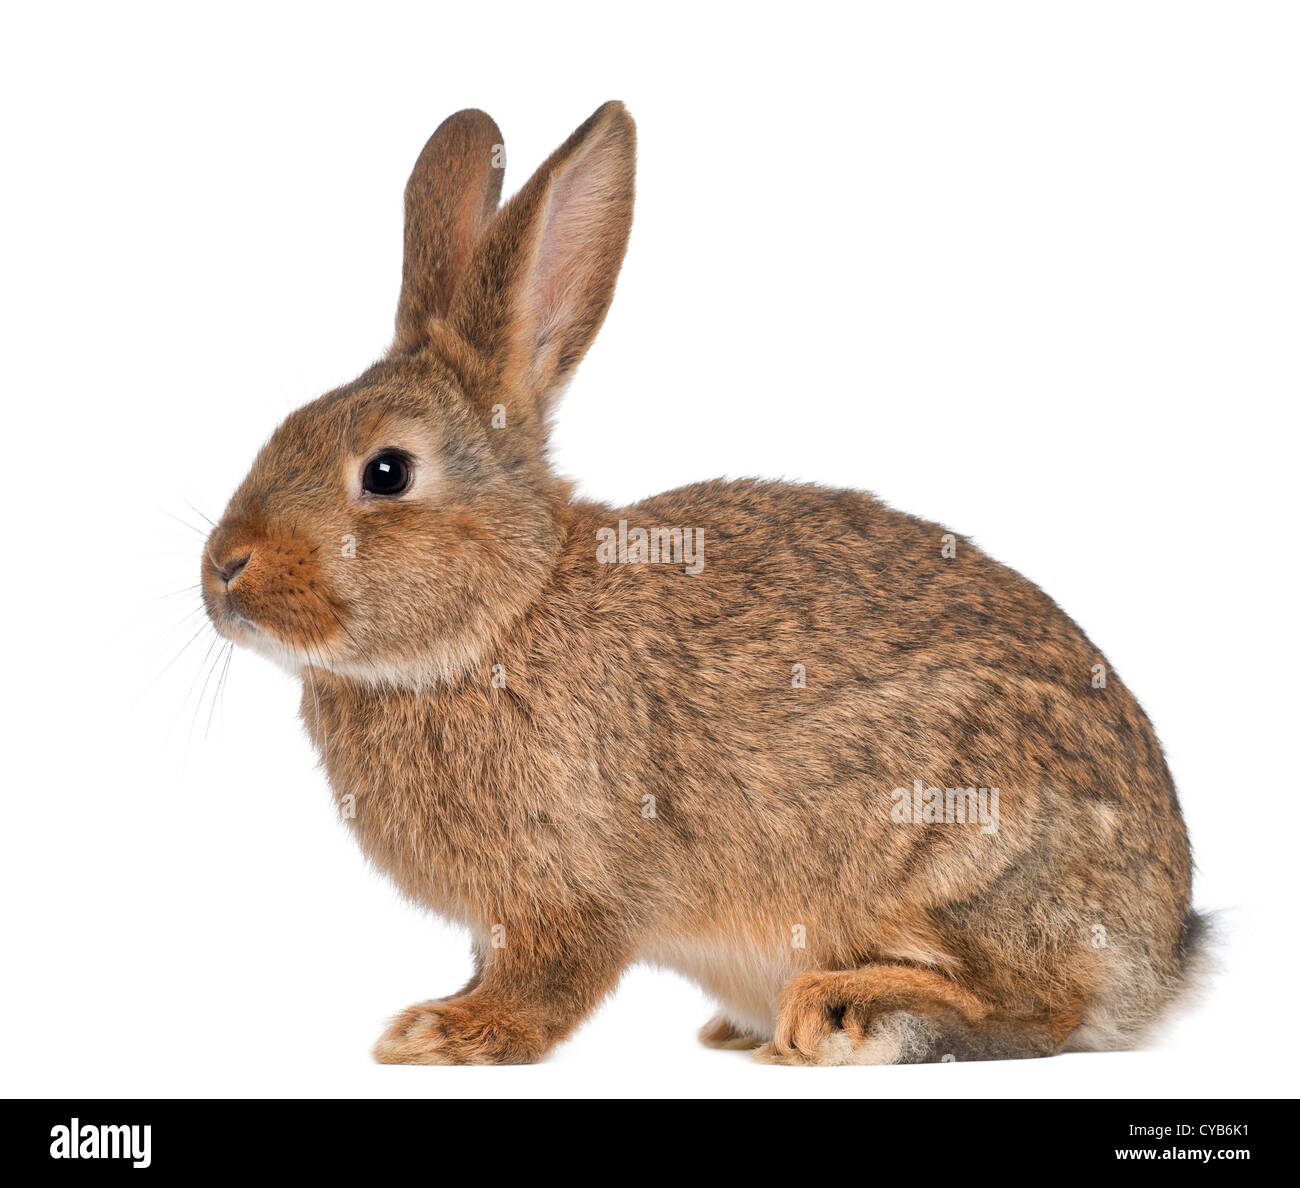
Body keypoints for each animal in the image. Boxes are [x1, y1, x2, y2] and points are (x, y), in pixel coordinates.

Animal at [197, 103, 1201, 1065]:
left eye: (388, 472)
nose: (223, 568)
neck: (504, 613)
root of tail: (1164, 952)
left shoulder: (573, 885)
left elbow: (550, 978)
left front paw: (447, 1033)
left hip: (963, 847)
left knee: (1042, 1008)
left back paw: (848, 1014)